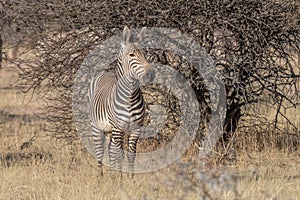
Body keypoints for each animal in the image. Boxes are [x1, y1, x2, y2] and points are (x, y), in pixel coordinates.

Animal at [88, 26, 155, 177]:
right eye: (131, 55)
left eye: (145, 54)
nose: (151, 74)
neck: (129, 97)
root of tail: (105, 72)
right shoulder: (118, 128)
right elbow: (119, 154)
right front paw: (119, 180)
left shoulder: (136, 128)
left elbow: (130, 155)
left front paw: (130, 178)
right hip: (97, 126)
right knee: (100, 151)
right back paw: (101, 177)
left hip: (110, 130)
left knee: (110, 150)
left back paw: (112, 175)